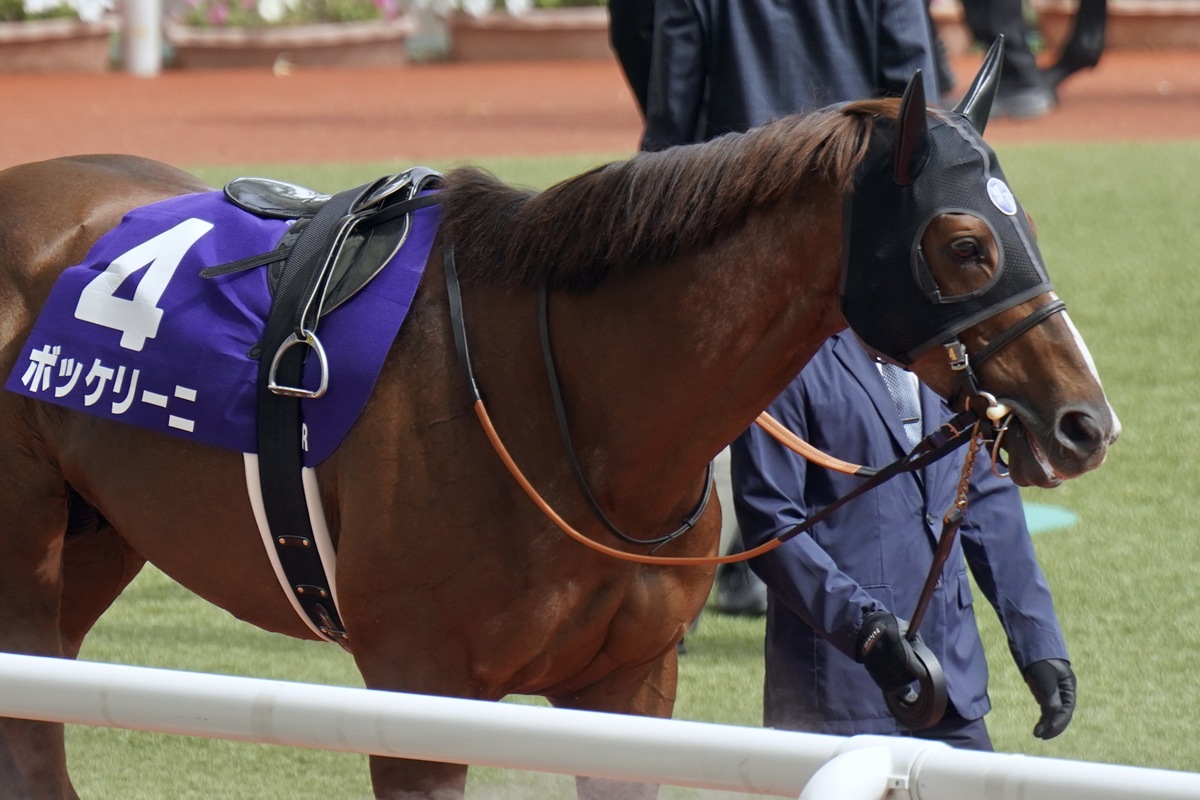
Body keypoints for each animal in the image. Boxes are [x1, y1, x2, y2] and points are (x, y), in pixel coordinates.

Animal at [0, 64, 1118, 800]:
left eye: (1025, 228)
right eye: (965, 243)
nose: (1085, 421)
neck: (565, 408)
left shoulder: (629, 689)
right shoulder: (418, 693)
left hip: (96, 539)